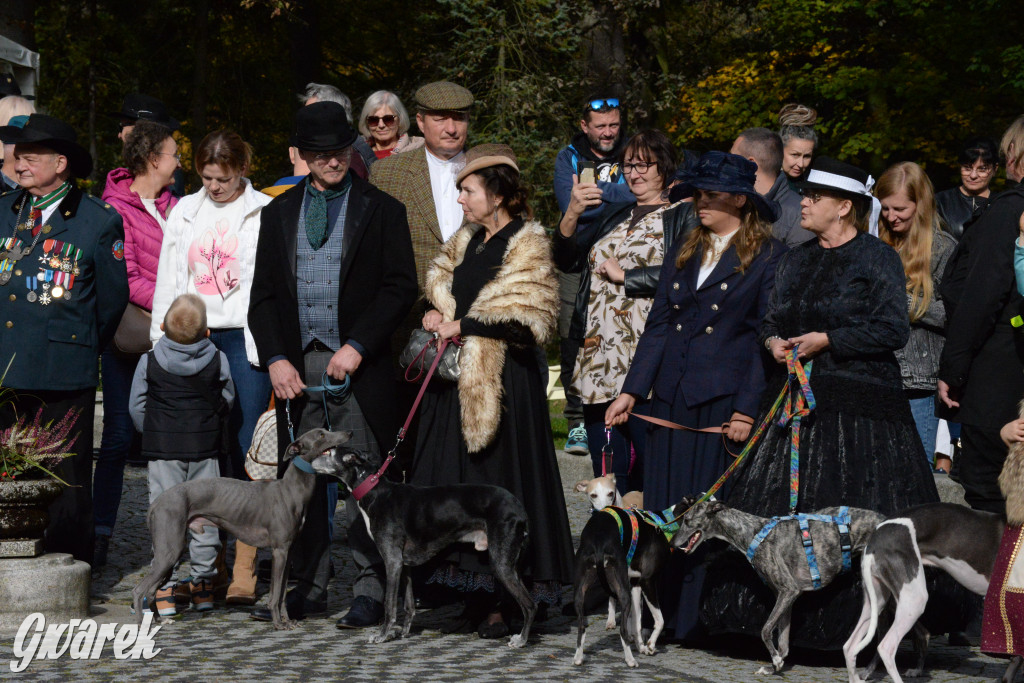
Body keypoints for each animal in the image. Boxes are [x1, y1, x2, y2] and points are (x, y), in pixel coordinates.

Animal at [134, 428, 350, 630]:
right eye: (321, 435)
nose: (348, 433)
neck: (291, 490)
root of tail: (156, 503)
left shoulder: (288, 552)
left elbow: (282, 594)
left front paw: (288, 621)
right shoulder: (279, 551)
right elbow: (275, 593)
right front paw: (278, 623)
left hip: (170, 552)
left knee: (151, 590)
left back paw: (158, 620)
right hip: (170, 550)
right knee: (139, 590)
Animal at [309, 448, 536, 647]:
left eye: (328, 452)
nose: (308, 458)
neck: (374, 491)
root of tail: (520, 509)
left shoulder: (392, 561)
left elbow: (390, 605)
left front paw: (382, 635)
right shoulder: (404, 563)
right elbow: (409, 605)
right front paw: (403, 633)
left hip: (501, 563)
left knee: (530, 604)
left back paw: (521, 640)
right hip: (510, 563)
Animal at [671, 499, 880, 675]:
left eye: (687, 520)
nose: (672, 543)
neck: (752, 533)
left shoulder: (788, 590)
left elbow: (765, 630)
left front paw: (776, 661)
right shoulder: (786, 597)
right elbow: (783, 642)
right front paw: (774, 666)